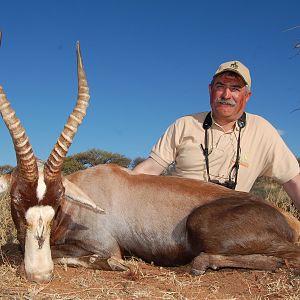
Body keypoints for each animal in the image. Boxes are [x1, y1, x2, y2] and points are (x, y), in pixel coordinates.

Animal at [0, 42, 300, 284]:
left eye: (59, 198)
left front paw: (115, 266)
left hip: (202, 223)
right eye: (15, 198)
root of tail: (288, 221)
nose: (40, 274)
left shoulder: (105, 245)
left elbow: (89, 256)